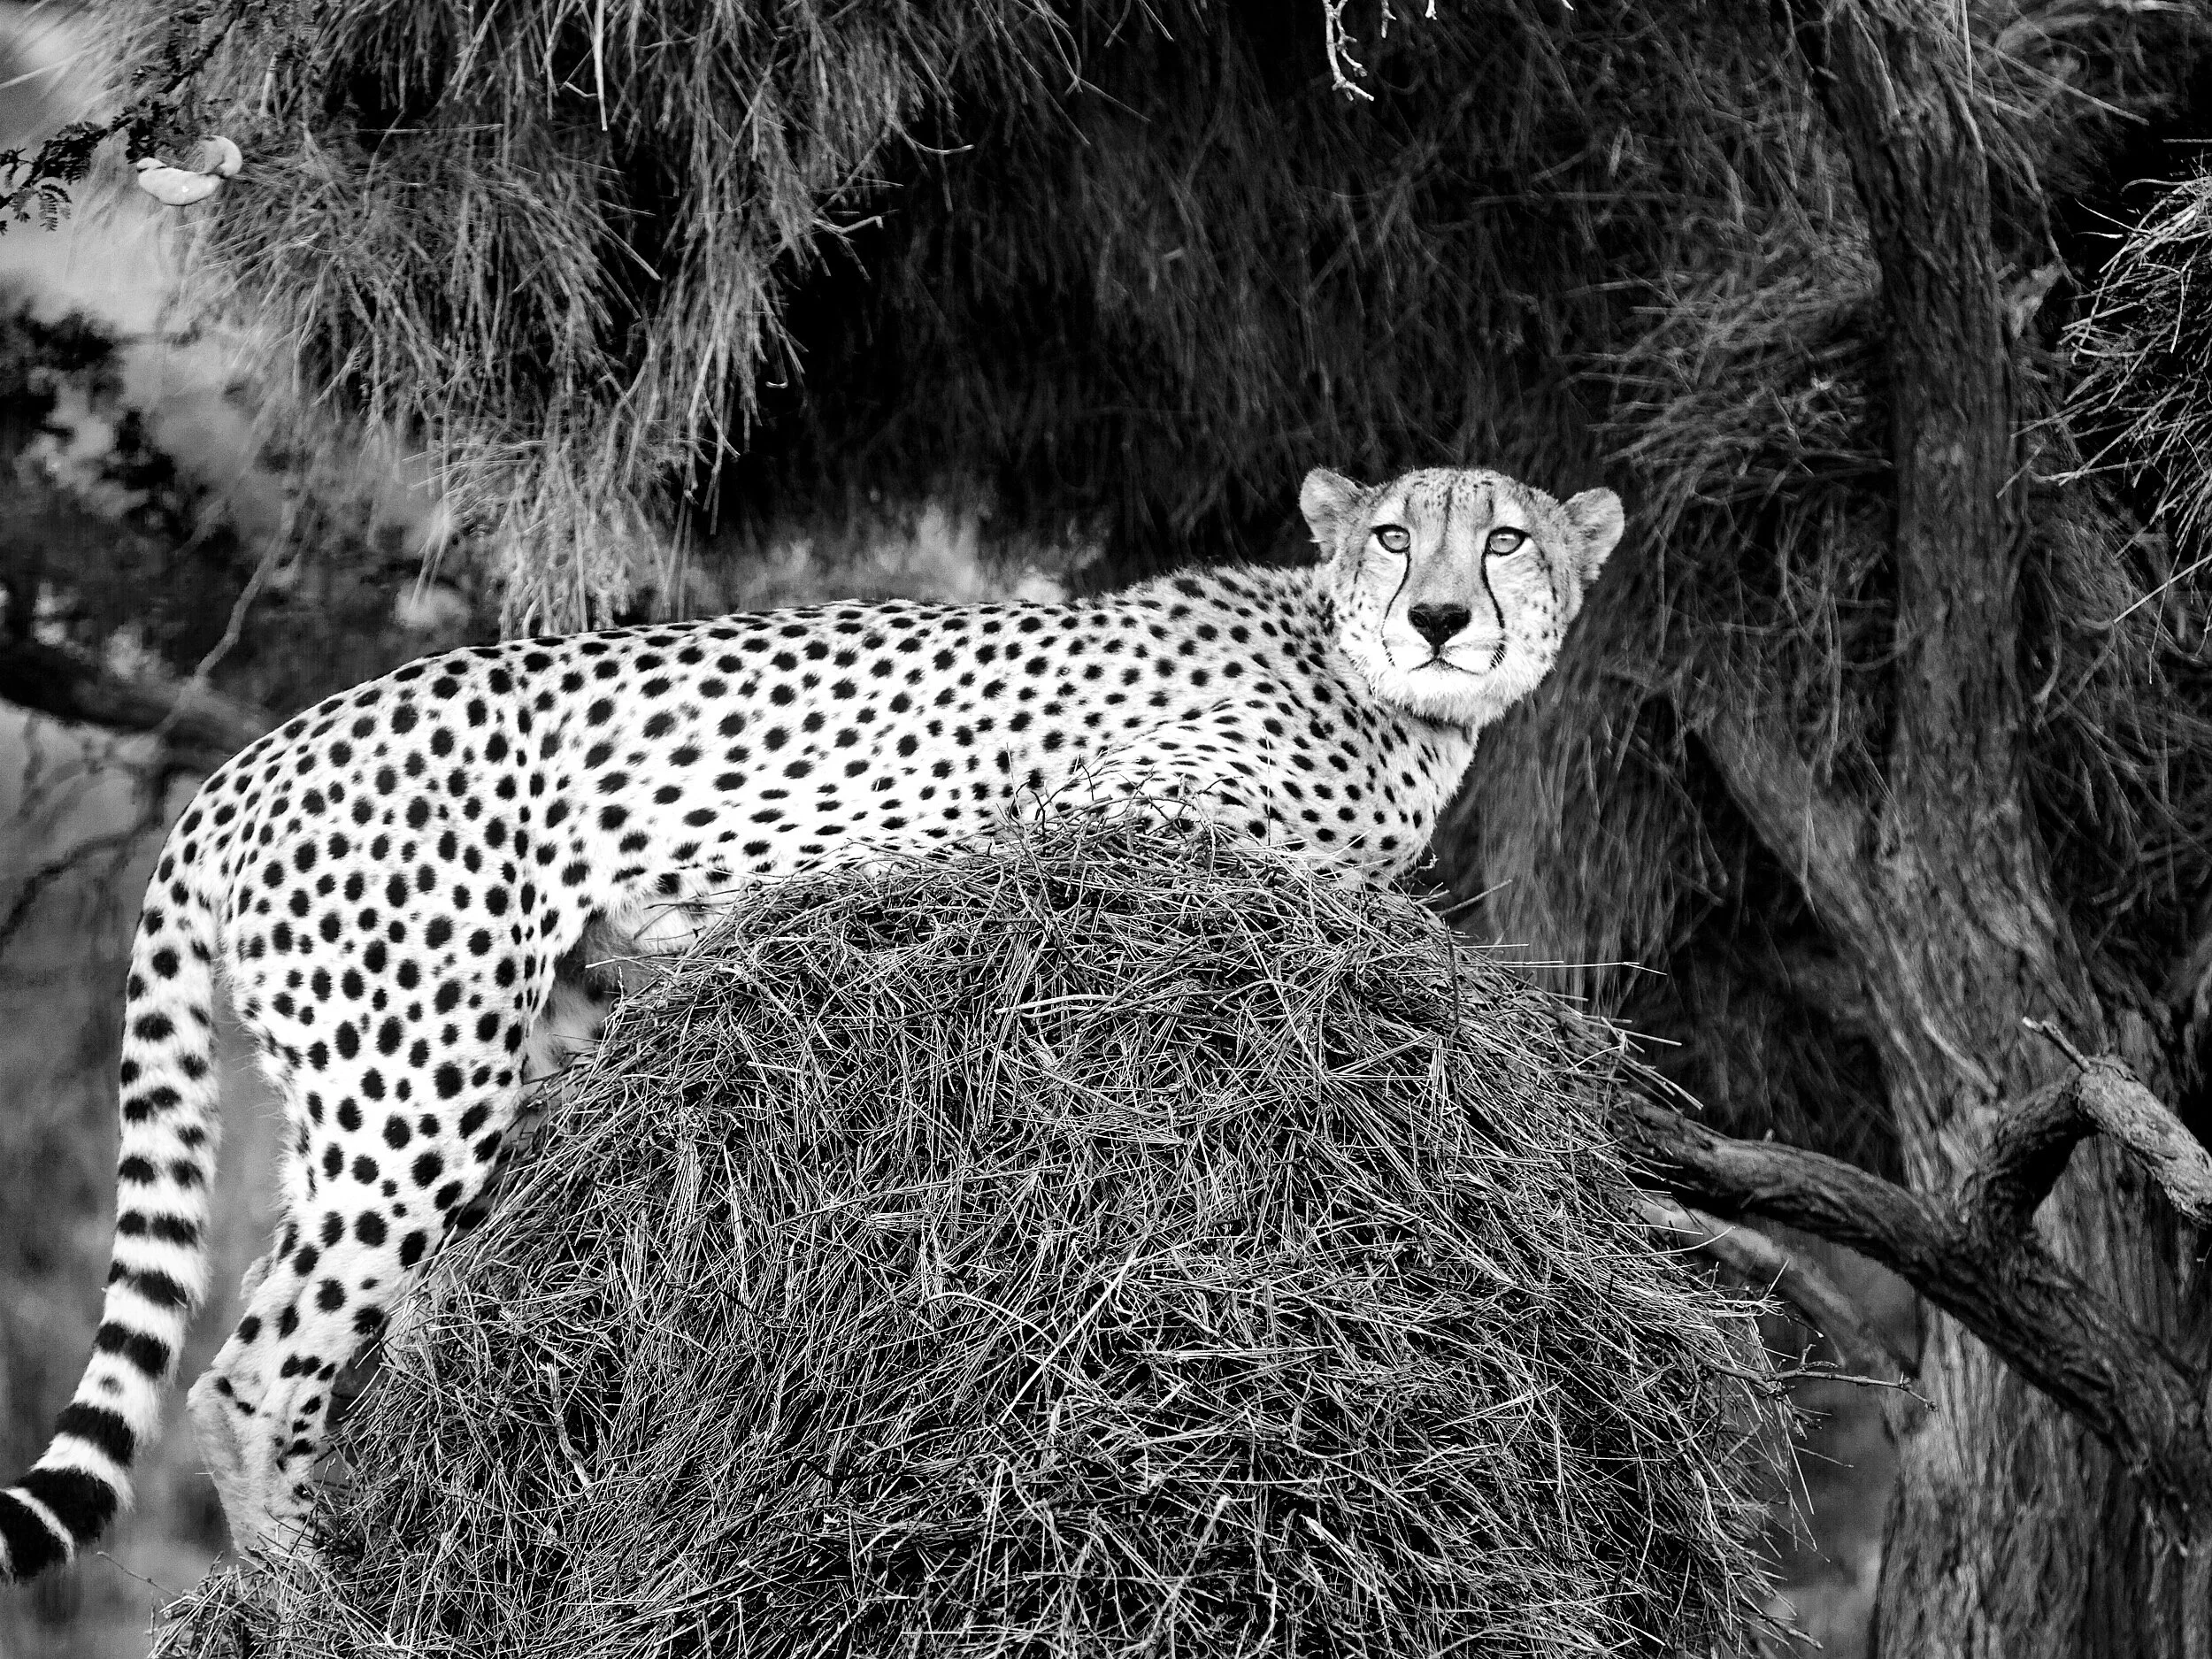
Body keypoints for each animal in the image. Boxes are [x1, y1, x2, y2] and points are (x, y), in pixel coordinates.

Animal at [0, 463, 1621, 1577]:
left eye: (1508, 538)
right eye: (1400, 536)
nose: (1439, 617)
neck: (1371, 686)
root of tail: (258, 751)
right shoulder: (1095, 805)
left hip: (389, 1080)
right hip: (421, 1077)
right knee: (247, 1370)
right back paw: (315, 1595)